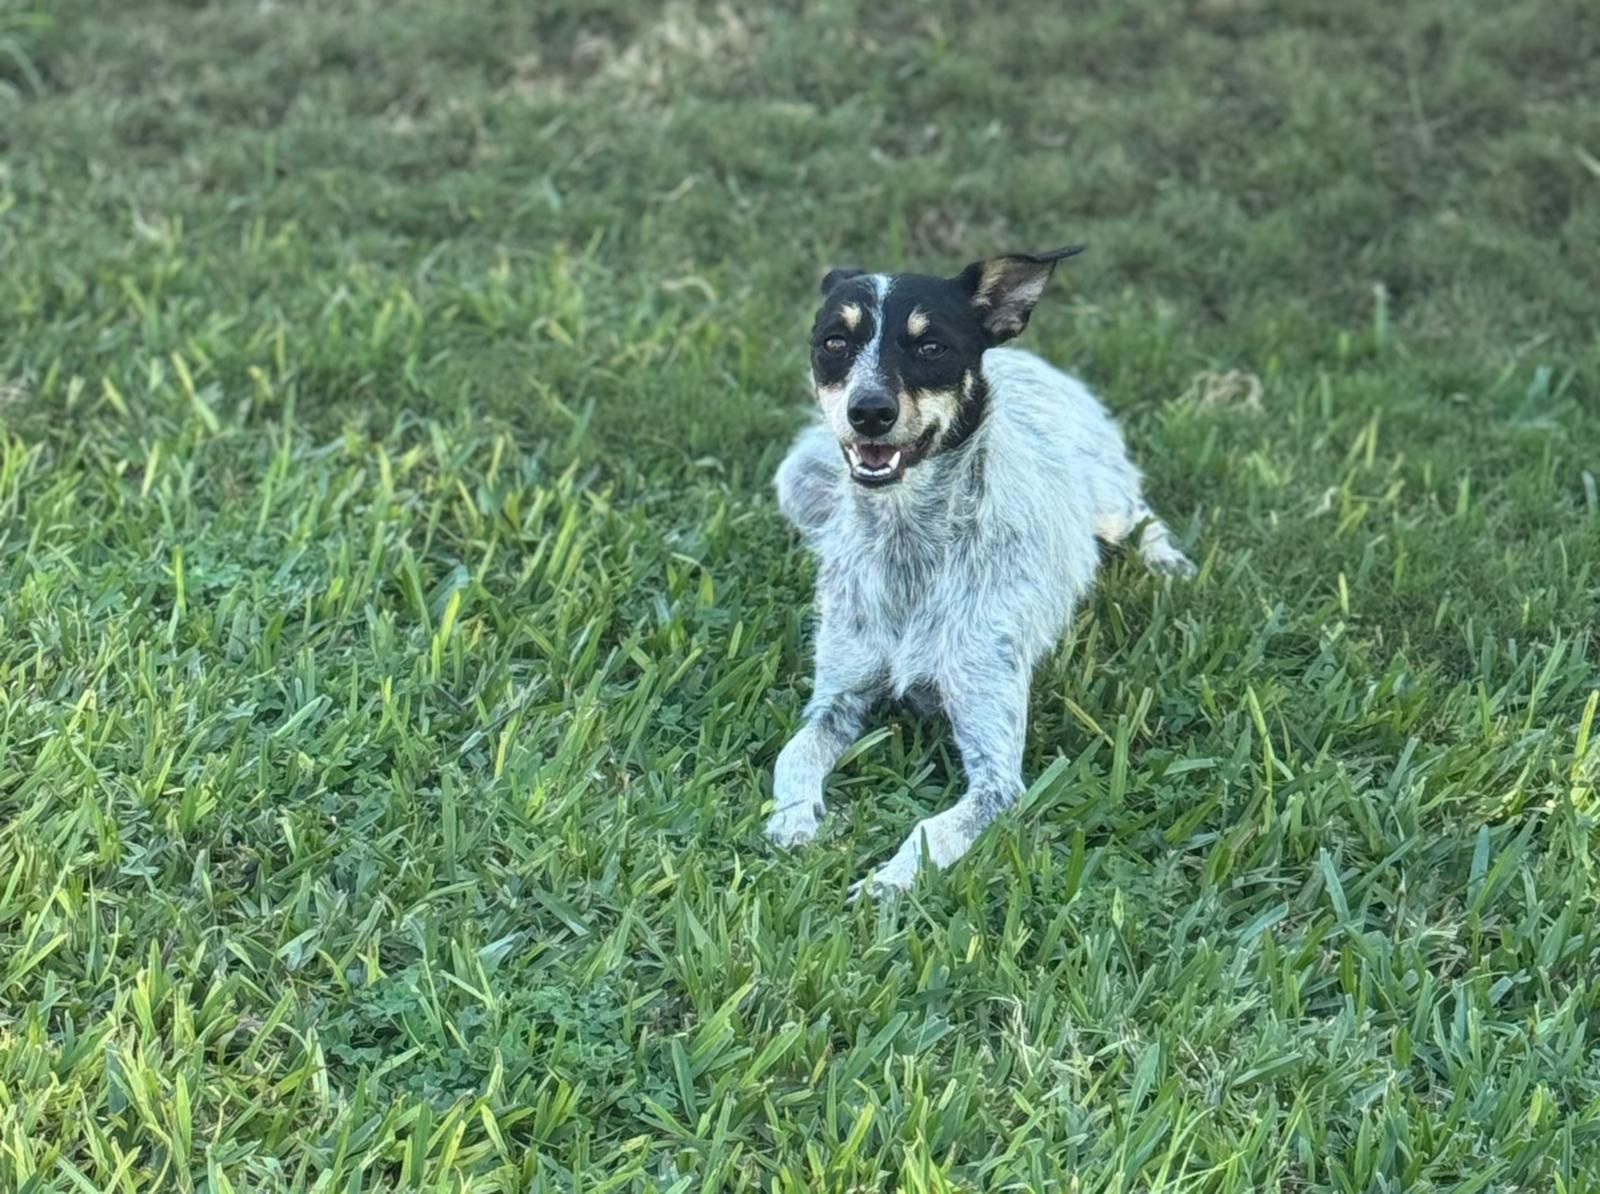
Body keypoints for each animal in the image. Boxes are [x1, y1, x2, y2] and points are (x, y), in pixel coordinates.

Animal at [769, 246, 1194, 896]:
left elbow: (931, 831)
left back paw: (1173, 565)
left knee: (1142, 515)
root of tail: (1029, 358)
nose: (869, 411)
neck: (910, 547)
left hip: (1109, 501)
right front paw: (792, 821)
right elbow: (794, 752)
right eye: (835, 342)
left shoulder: (997, 772)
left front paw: (886, 885)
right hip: (796, 478)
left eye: (931, 347)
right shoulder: (837, 697)